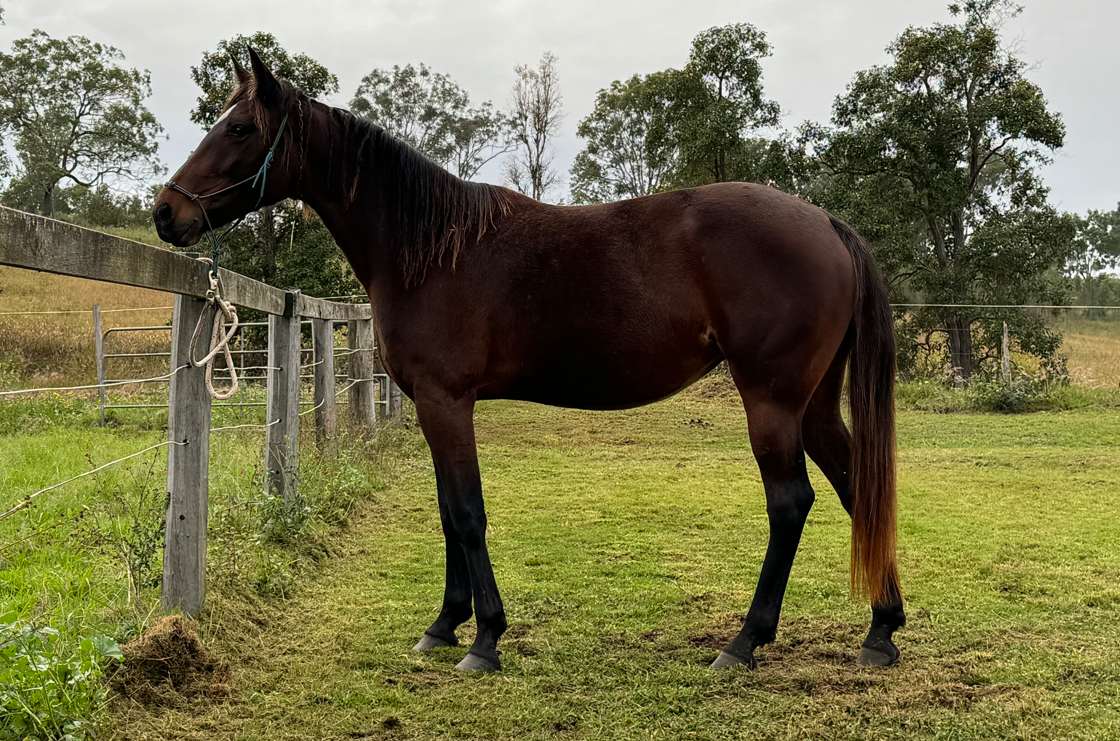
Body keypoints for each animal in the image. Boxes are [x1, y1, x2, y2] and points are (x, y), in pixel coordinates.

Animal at [153, 49, 905, 673]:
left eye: (239, 129)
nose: (165, 214)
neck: (428, 249)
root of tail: (826, 223)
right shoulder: (433, 406)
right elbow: (445, 510)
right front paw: (443, 625)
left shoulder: (447, 400)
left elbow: (467, 512)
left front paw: (484, 638)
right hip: (813, 405)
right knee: (856, 485)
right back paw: (880, 631)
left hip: (771, 401)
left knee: (791, 502)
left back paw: (745, 641)